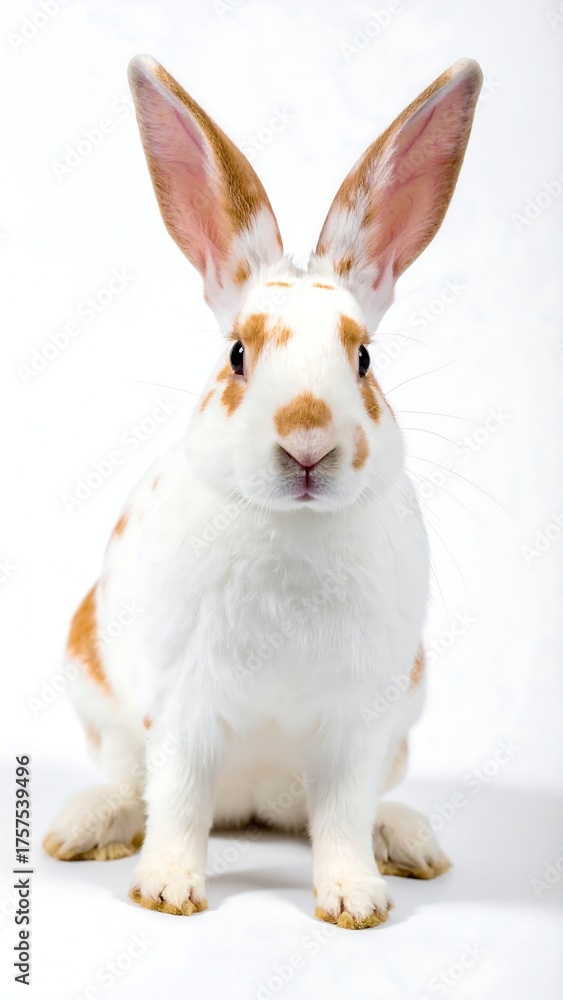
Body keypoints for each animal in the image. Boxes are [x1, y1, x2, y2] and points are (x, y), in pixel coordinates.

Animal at [43, 54, 482, 929]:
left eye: (363, 359)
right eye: (238, 354)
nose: (306, 439)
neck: (293, 529)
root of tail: (253, 806)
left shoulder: (358, 720)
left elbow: (340, 813)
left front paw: (355, 900)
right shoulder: (183, 705)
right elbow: (179, 800)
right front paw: (168, 891)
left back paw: (407, 842)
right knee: (138, 787)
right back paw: (87, 827)